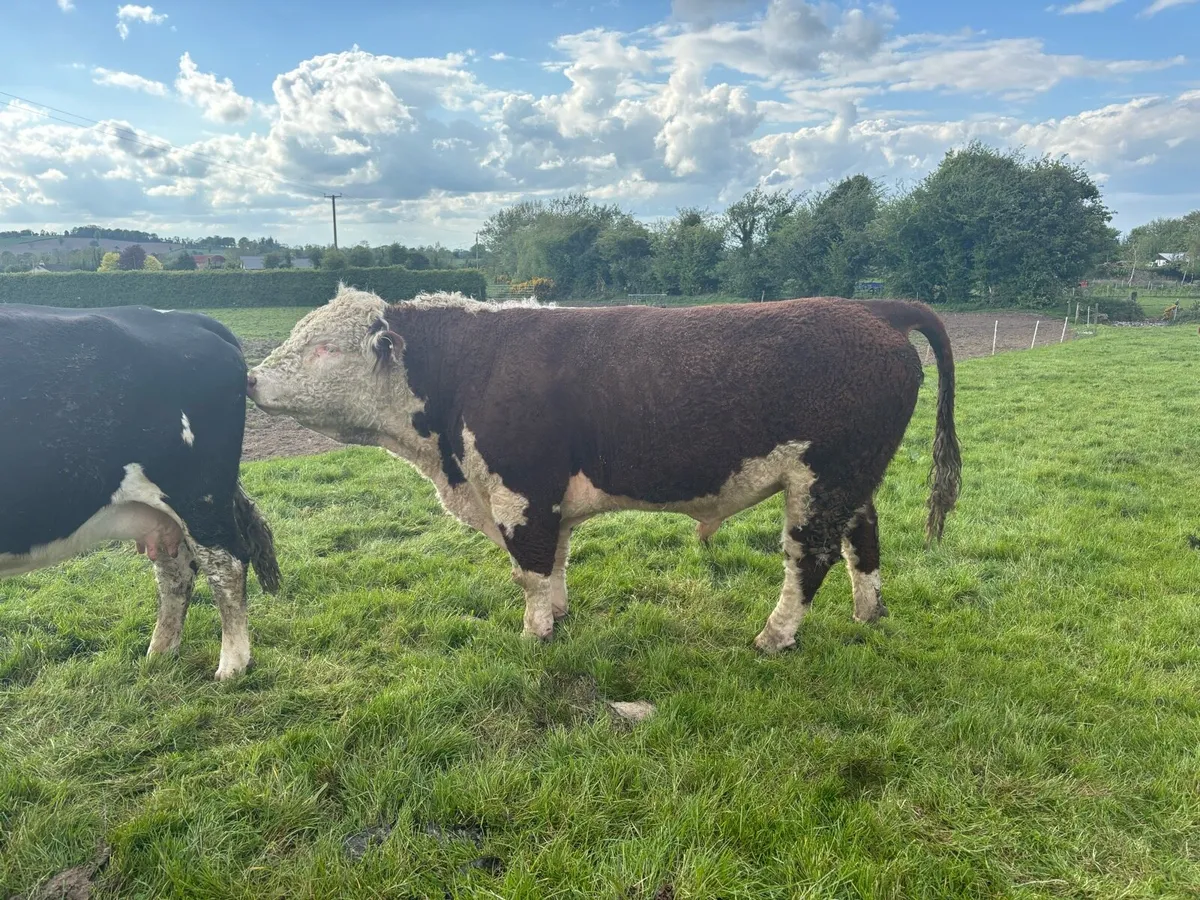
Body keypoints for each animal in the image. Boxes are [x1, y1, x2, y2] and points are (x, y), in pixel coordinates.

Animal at [0, 304, 280, 680]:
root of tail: (185, 317)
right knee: (176, 571)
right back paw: (160, 654)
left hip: (200, 496)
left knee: (227, 565)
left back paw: (232, 666)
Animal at [248, 287, 959, 653]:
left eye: (320, 348)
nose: (250, 378)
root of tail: (871, 308)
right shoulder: (548, 496)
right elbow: (556, 559)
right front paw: (559, 617)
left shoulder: (521, 490)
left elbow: (530, 568)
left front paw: (535, 633)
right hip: (853, 478)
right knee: (862, 541)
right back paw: (869, 614)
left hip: (822, 479)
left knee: (810, 556)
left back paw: (774, 635)